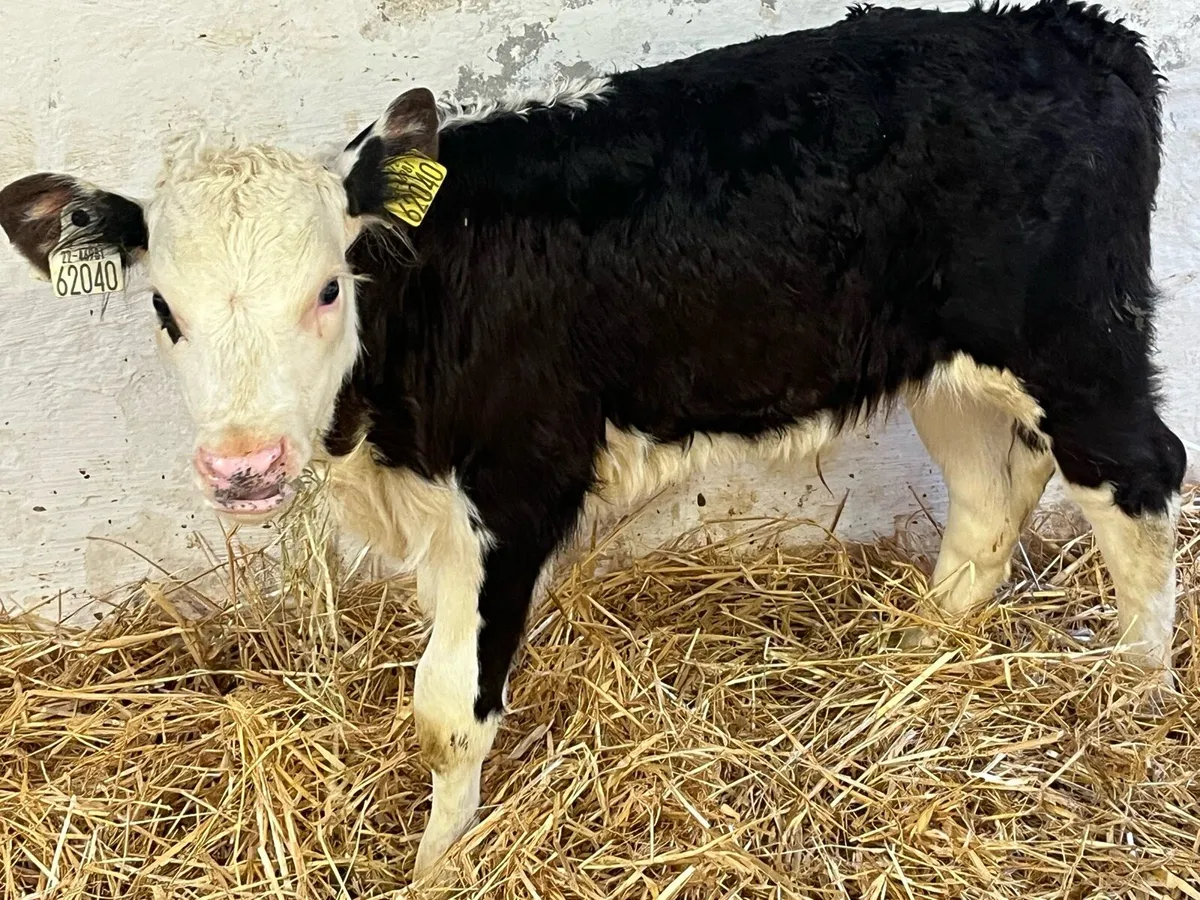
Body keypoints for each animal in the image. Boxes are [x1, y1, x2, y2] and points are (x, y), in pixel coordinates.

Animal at [0, 0, 1186, 878]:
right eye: (166, 311)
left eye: (329, 288)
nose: (243, 466)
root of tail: (1072, 31)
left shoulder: (517, 486)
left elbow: (447, 711)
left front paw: (437, 866)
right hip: (944, 360)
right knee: (993, 494)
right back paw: (915, 655)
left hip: (1075, 338)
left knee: (1139, 475)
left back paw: (1129, 699)